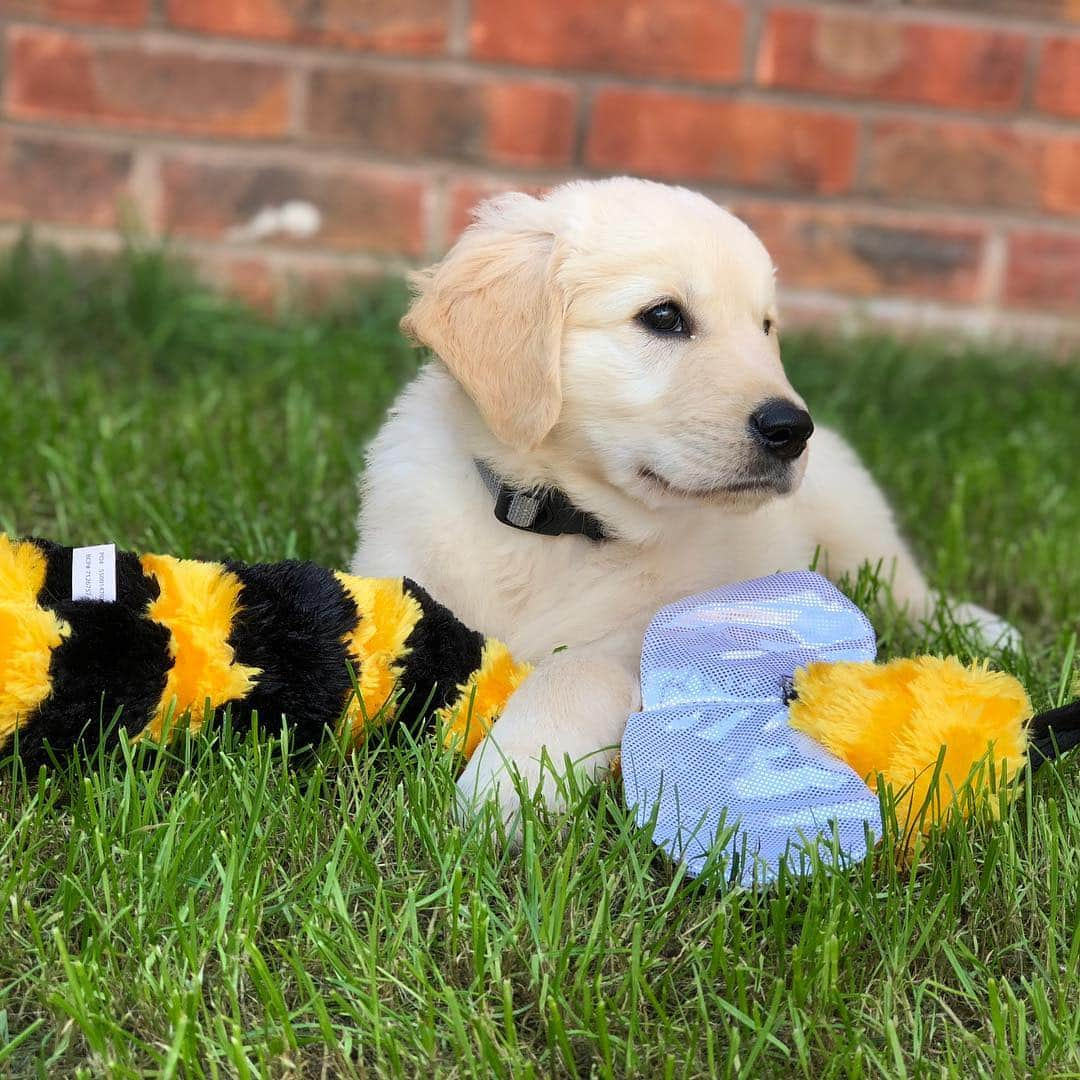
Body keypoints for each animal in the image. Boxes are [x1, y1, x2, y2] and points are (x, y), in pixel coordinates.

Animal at [352, 177, 1010, 825]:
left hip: (854, 515)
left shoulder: (656, 642)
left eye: (765, 327)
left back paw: (986, 629)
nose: (792, 429)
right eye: (664, 316)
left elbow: (576, 672)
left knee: (904, 584)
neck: (555, 523)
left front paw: (504, 786)